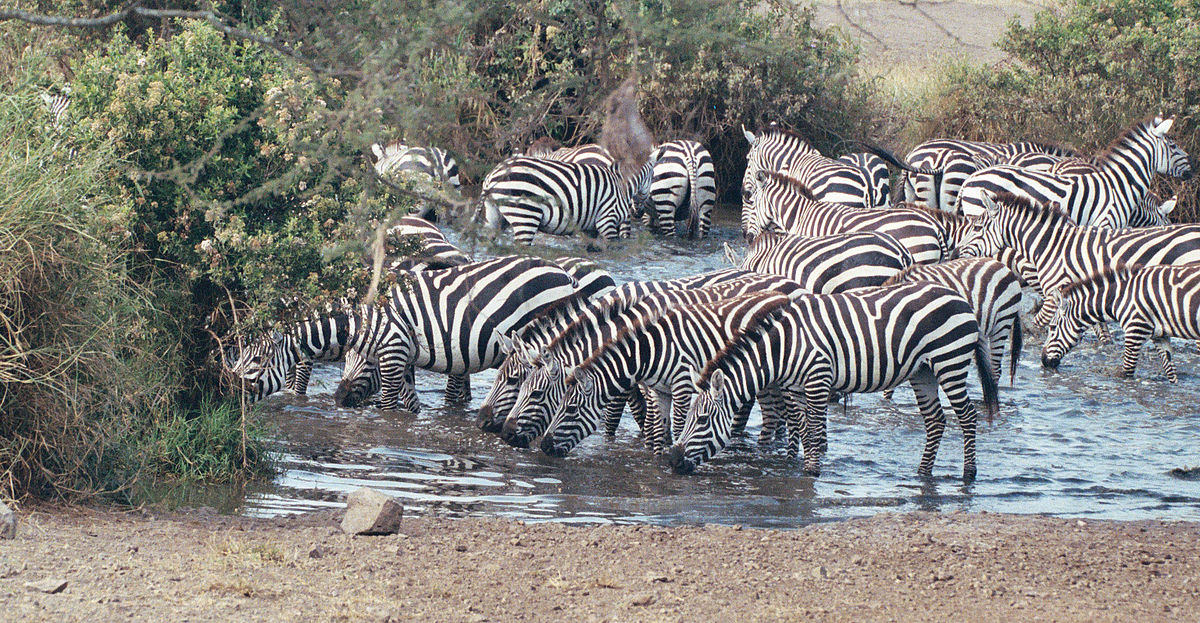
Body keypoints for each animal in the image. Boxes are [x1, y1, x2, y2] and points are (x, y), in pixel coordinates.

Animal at [479, 156, 654, 245]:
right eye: (652, 176)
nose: (637, 213)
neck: (620, 183)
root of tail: (492, 175)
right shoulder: (607, 220)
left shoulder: (591, 228)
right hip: (525, 214)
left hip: (495, 215)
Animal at [504, 276, 805, 453]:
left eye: (535, 393)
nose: (504, 433)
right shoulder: (648, 383)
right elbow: (653, 422)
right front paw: (653, 451)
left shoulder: (676, 384)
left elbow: (625, 419)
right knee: (775, 413)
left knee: (787, 415)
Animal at [668, 283, 998, 480]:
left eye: (701, 420)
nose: (673, 460)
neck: (784, 347)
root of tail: (961, 299)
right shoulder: (795, 388)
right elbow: (802, 426)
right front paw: (801, 464)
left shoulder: (817, 379)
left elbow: (814, 428)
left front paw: (812, 470)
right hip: (923, 371)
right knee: (936, 421)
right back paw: (922, 471)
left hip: (950, 361)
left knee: (967, 415)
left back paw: (969, 472)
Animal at [1042, 264, 1200, 383]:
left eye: (1052, 328)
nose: (1043, 361)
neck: (1119, 298)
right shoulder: (1160, 336)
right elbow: (1170, 372)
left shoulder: (1135, 330)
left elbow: (1126, 371)